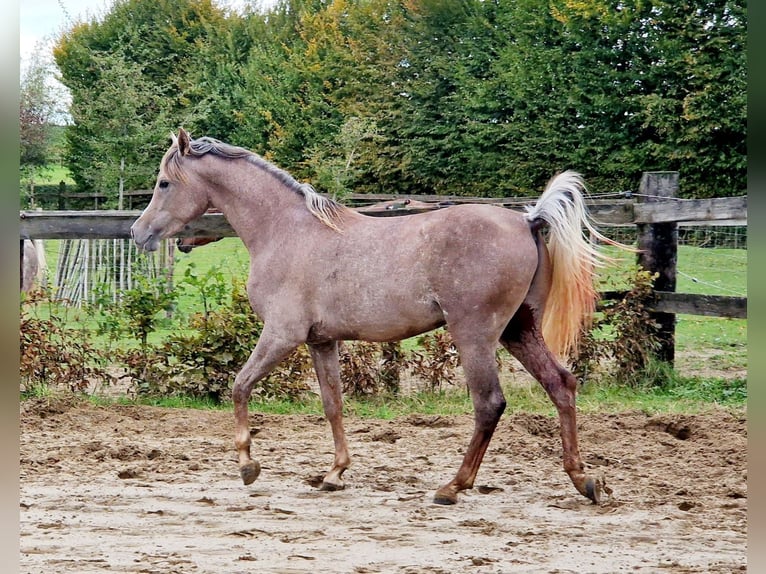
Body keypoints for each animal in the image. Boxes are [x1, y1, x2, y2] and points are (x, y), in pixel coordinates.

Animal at [132, 128, 624, 506]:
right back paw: (585, 480)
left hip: (475, 334)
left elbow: (239, 386)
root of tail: (528, 220)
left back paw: (452, 487)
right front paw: (334, 474)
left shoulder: (281, 335)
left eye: (164, 183)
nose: (138, 232)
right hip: (519, 330)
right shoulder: (321, 341)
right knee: (561, 384)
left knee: (490, 403)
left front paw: (248, 465)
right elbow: (332, 404)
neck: (287, 230)